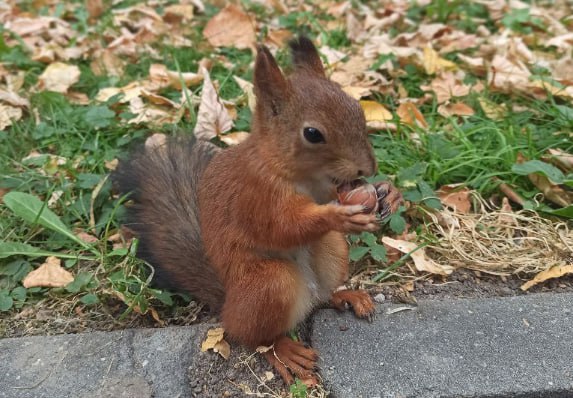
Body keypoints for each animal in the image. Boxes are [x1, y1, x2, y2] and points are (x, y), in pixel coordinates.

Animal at [113, 37, 402, 386]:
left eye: (358, 108)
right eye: (313, 134)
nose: (368, 168)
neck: (299, 175)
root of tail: (228, 304)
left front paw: (389, 192)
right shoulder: (255, 196)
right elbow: (282, 227)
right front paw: (338, 216)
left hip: (332, 251)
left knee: (320, 297)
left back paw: (346, 296)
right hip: (269, 284)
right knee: (252, 336)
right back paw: (285, 352)